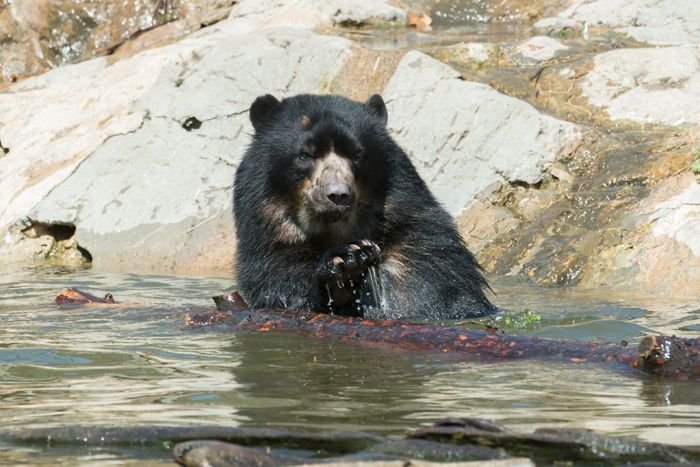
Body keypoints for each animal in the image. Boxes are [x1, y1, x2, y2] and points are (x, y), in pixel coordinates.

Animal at [232, 95, 494, 322]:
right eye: (304, 154)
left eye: (357, 154)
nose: (337, 195)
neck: (335, 231)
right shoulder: (274, 248)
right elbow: (284, 285)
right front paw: (345, 261)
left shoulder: (417, 254)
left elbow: (432, 288)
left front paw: (353, 259)